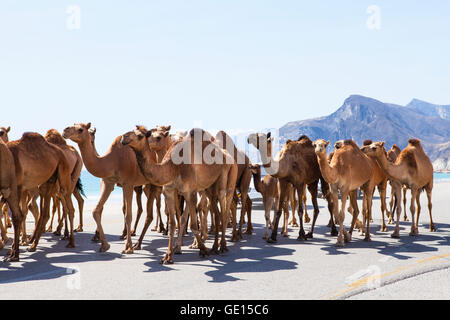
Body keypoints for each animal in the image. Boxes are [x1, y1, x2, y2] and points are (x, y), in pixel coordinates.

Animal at [62, 122, 153, 252]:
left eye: (80, 129)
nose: (65, 130)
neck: (113, 160)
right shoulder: (108, 183)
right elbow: (96, 210)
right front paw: (105, 245)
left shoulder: (128, 183)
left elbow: (128, 215)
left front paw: (128, 247)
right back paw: (138, 243)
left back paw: (139, 244)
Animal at [119, 126, 239, 264]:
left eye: (140, 136)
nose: (123, 138)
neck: (173, 167)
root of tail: (229, 156)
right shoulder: (169, 191)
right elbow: (173, 223)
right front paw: (168, 256)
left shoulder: (190, 191)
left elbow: (193, 224)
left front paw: (203, 250)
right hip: (209, 188)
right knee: (217, 212)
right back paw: (215, 247)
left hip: (227, 179)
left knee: (225, 210)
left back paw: (223, 246)